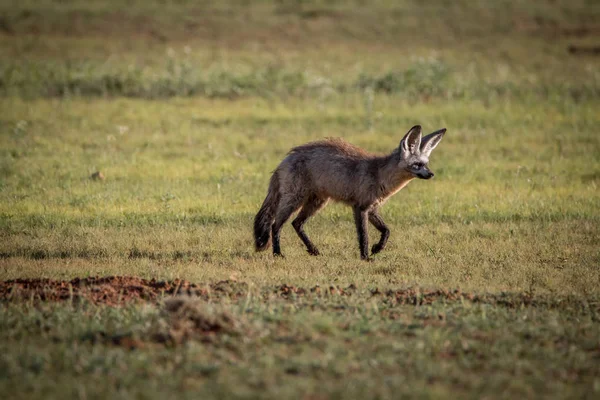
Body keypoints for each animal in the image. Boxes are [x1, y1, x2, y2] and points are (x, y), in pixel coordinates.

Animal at [253, 126, 446, 260]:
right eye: (417, 165)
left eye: (426, 164)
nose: (431, 174)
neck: (379, 175)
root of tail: (285, 159)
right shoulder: (360, 208)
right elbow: (363, 236)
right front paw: (365, 257)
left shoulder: (372, 208)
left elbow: (386, 231)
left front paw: (377, 248)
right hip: (295, 200)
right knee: (275, 225)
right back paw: (278, 254)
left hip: (317, 202)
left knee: (296, 224)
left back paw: (313, 250)